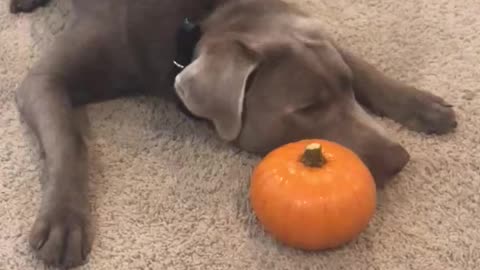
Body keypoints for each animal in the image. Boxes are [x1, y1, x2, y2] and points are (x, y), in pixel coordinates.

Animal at [9, 0, 456, 266]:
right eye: (308, 109)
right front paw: (64, 221)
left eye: (346, 88)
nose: (400, 159)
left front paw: (419, 103)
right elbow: (68, 139)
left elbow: (357, 62)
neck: (199, 17)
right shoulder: (45, 80)